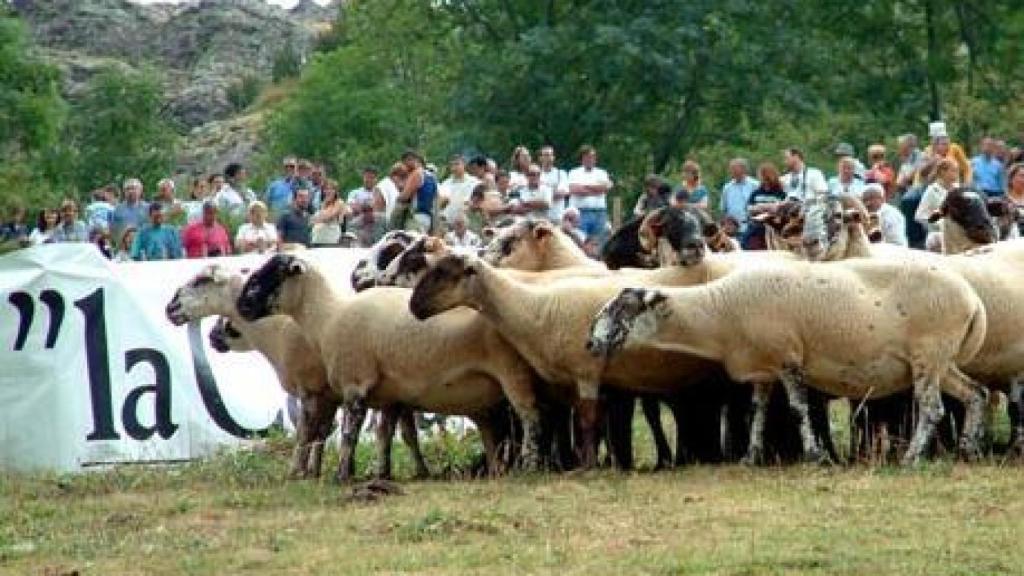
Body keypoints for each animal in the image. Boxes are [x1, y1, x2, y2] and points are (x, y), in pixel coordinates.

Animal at [235, 253, 545, 479]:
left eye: (272, 273)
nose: (241, 307)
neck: (328, 317)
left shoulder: (354, 383)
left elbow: (349, 434)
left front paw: (342, 475)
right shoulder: (390, 396)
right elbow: (385, 435)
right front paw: (382, 473)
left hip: (511, 370)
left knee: (529, 416)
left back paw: (529, 464)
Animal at [586, 256, 990, 466]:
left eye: (624, 309)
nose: (591, 343)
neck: (721, 311)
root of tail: (972, 301)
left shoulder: (787, 360)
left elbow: (798, 410)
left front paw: (815, 456)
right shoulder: (763, 368)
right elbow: (757, 412)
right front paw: (751, 457)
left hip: (928, 355)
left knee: (932, 408)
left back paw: (911, 459)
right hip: (942, 361)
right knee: (976, 394)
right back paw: (968, 450)